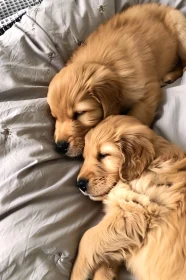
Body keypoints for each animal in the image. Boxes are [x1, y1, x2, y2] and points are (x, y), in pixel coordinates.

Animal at [47, 3, 186, 158]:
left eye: (80, 113)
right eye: (55, 117)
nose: (60, 147)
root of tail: (165, 6)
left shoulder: (149, 88)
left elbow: (138, 116)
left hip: (181, 31)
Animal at [71, 115, 186, 280]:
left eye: (103, 155)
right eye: (85, 157)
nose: (80, 184)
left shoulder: (134, 213)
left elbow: (87, 238)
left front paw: (76, 274)